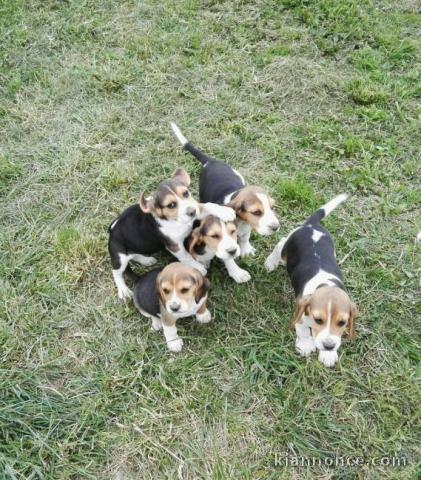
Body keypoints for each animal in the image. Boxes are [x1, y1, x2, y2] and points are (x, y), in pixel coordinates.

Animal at [106, 167, 235, 298]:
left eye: (186, 193)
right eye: (171, 205)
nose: (192, 212)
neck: (175, 221)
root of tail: (112, 229)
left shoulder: (196, 210)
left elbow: (207, 205)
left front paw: (225, 211)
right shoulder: (175, 246)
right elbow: (186, 257)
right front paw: (198, 267)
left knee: (134, 255)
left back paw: (146, 260)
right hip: (119, 257)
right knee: (116, 272)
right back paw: (123, 290)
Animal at [171, 122, 278, 284]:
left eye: (272, 208)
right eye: (256, 212)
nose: (276, 227)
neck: (241, 222)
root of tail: (210, 161)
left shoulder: (246, 228)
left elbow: (245, 238)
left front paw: (246, 249)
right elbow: (228, 256)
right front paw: (237, 272)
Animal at [264, 195, 356, 368]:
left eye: (342, 323)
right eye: (318, 320)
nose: (328, 346)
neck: (326, 284)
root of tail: (311, 225)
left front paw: (328, 354)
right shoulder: (300, 312)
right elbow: (303, 331)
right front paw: (306, 345)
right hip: (286, 249)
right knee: (280, 244)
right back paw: (270, 262)